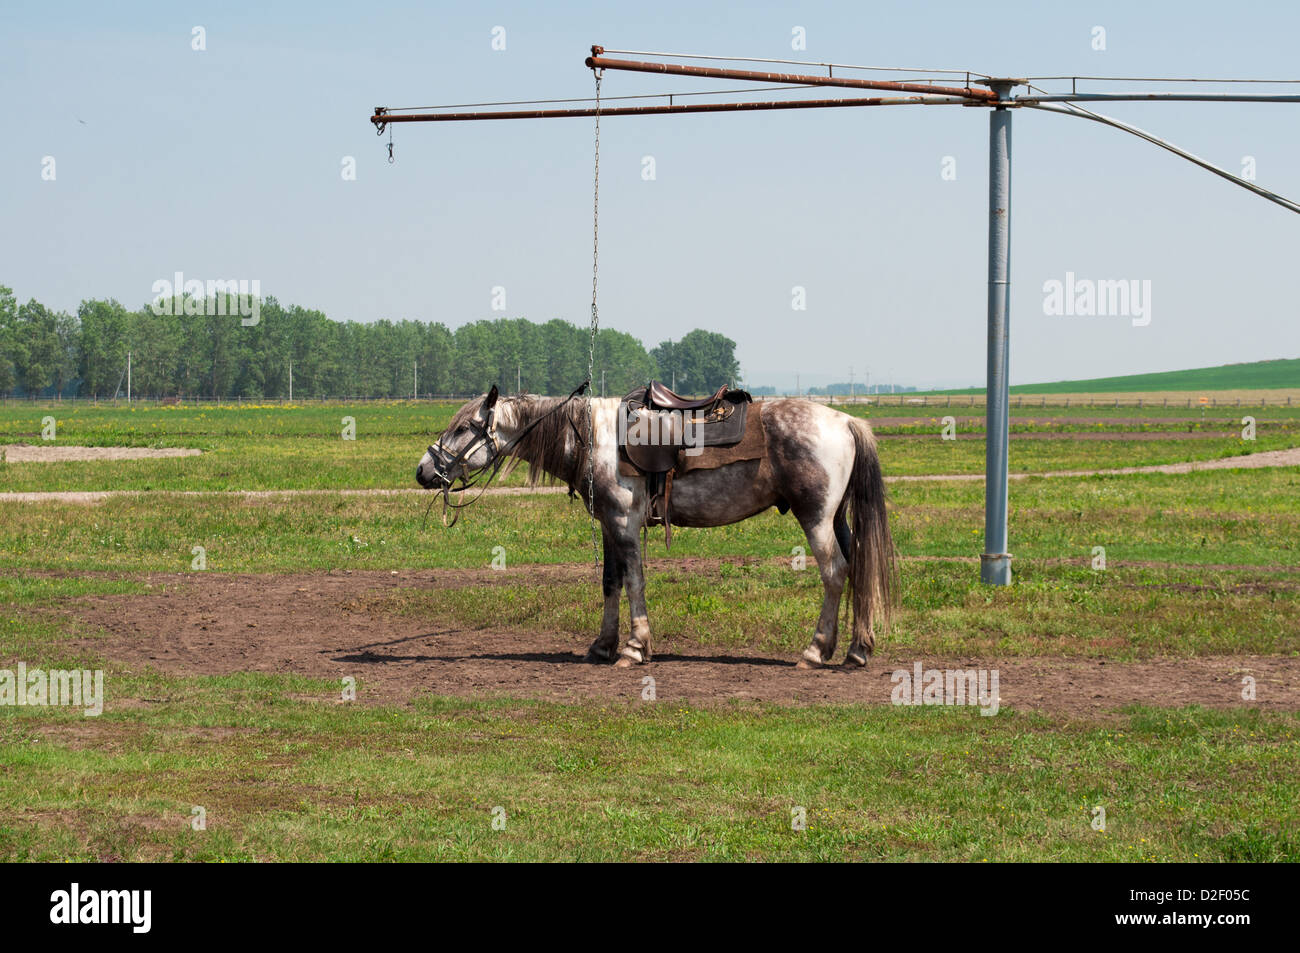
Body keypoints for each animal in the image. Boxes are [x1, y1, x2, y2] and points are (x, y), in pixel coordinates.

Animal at [416, 384, 894, 670]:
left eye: (464, 427)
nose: (423, 470)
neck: (592, 437)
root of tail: (846, 421)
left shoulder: (624, 521)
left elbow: (634, 581)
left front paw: (633, 647)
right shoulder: (609, 524)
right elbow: (611, 582)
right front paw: (603, 645)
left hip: (815, 517)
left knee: (835, 572)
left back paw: (815, 651)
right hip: (837, 518)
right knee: (857, 569)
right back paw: (857, 649)